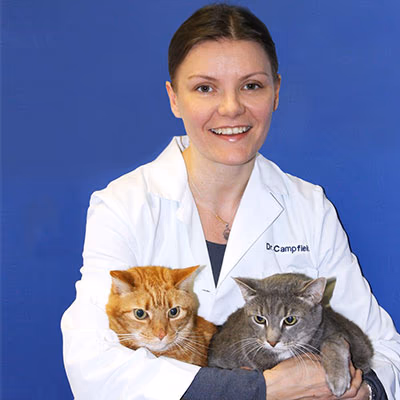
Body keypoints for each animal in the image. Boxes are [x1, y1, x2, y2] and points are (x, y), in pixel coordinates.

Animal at [208, 273, 373, 397]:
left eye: (290, 320)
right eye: (259, 319)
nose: (272, 341)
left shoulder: (345, 335)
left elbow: (333, 341)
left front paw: (338, 379)